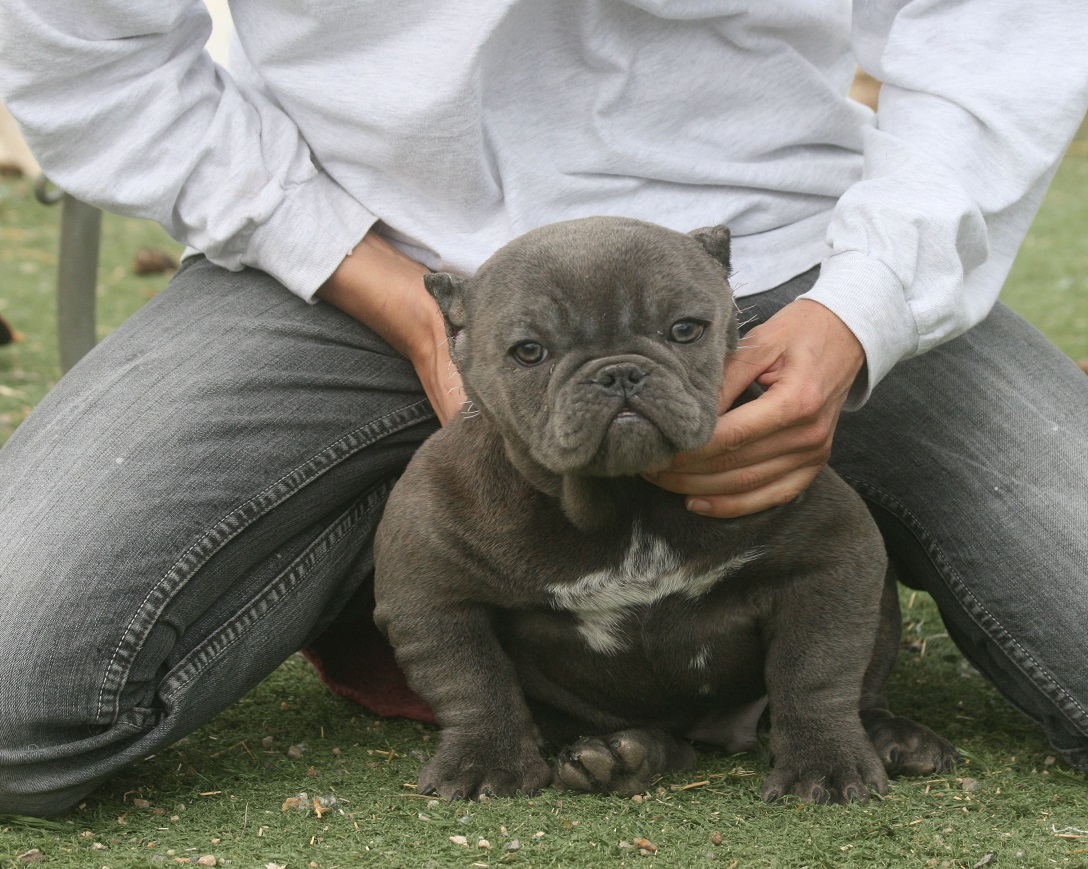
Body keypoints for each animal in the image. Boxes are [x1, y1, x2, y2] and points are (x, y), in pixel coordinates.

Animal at [372, 215, 953, 800]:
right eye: (529, 352)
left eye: (685, 330)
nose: (619, 372)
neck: (629, 500)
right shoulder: (431, 588)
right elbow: (472, 682)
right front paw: (484, 761)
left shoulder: (831, 556)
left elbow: (817, 671)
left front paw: (825, 763)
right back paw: (617, 758)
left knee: (864, 687)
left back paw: (893, 738)